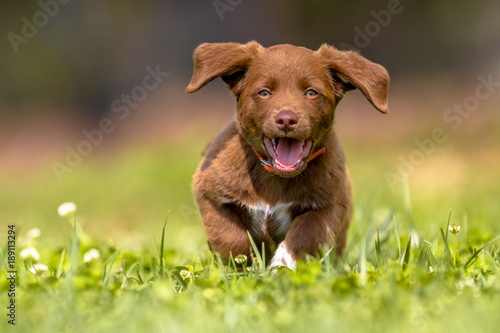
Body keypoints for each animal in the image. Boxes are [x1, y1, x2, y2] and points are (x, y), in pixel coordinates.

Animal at [186, 42, 388, 270]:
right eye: (264, 93)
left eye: (311, 92)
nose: (286, 120)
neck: (275, 176)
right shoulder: (210, 193)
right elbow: (230, 238)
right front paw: (242, 268)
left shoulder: (331, 204)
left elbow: (306, 235)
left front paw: (279, 269)